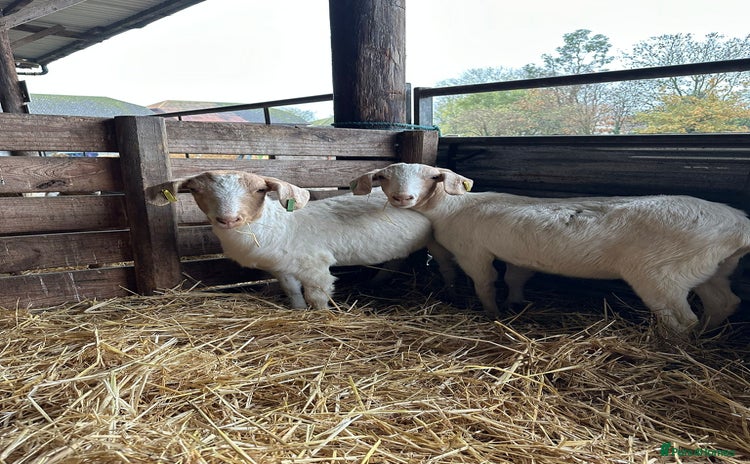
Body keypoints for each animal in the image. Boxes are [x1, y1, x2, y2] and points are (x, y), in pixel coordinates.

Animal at [147, 170, 455, 309]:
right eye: (195, 190)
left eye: (260, 190)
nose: (228, 219)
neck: (280, 225)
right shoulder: (282, 269)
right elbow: (293, 292)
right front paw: (297, 310)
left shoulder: (315, 268)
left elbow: (317, 296)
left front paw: (320, 315)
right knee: (398, 260)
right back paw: (377, 281)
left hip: (437, 242)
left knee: (444, 263)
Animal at [351, 162, 750, 334]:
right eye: (384, 177)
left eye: (432, 177)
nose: (403, 198)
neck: (451, 208)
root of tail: (739, 226)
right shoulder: (519, 256)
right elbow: (515, 278)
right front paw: (515, 303)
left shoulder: (473, 252)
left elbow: (485, 284)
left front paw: (492, 313)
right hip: (709, 268)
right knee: (724, 303)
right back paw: (705, 334)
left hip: (661, 274)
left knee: (682, 318)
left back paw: (673, 344)